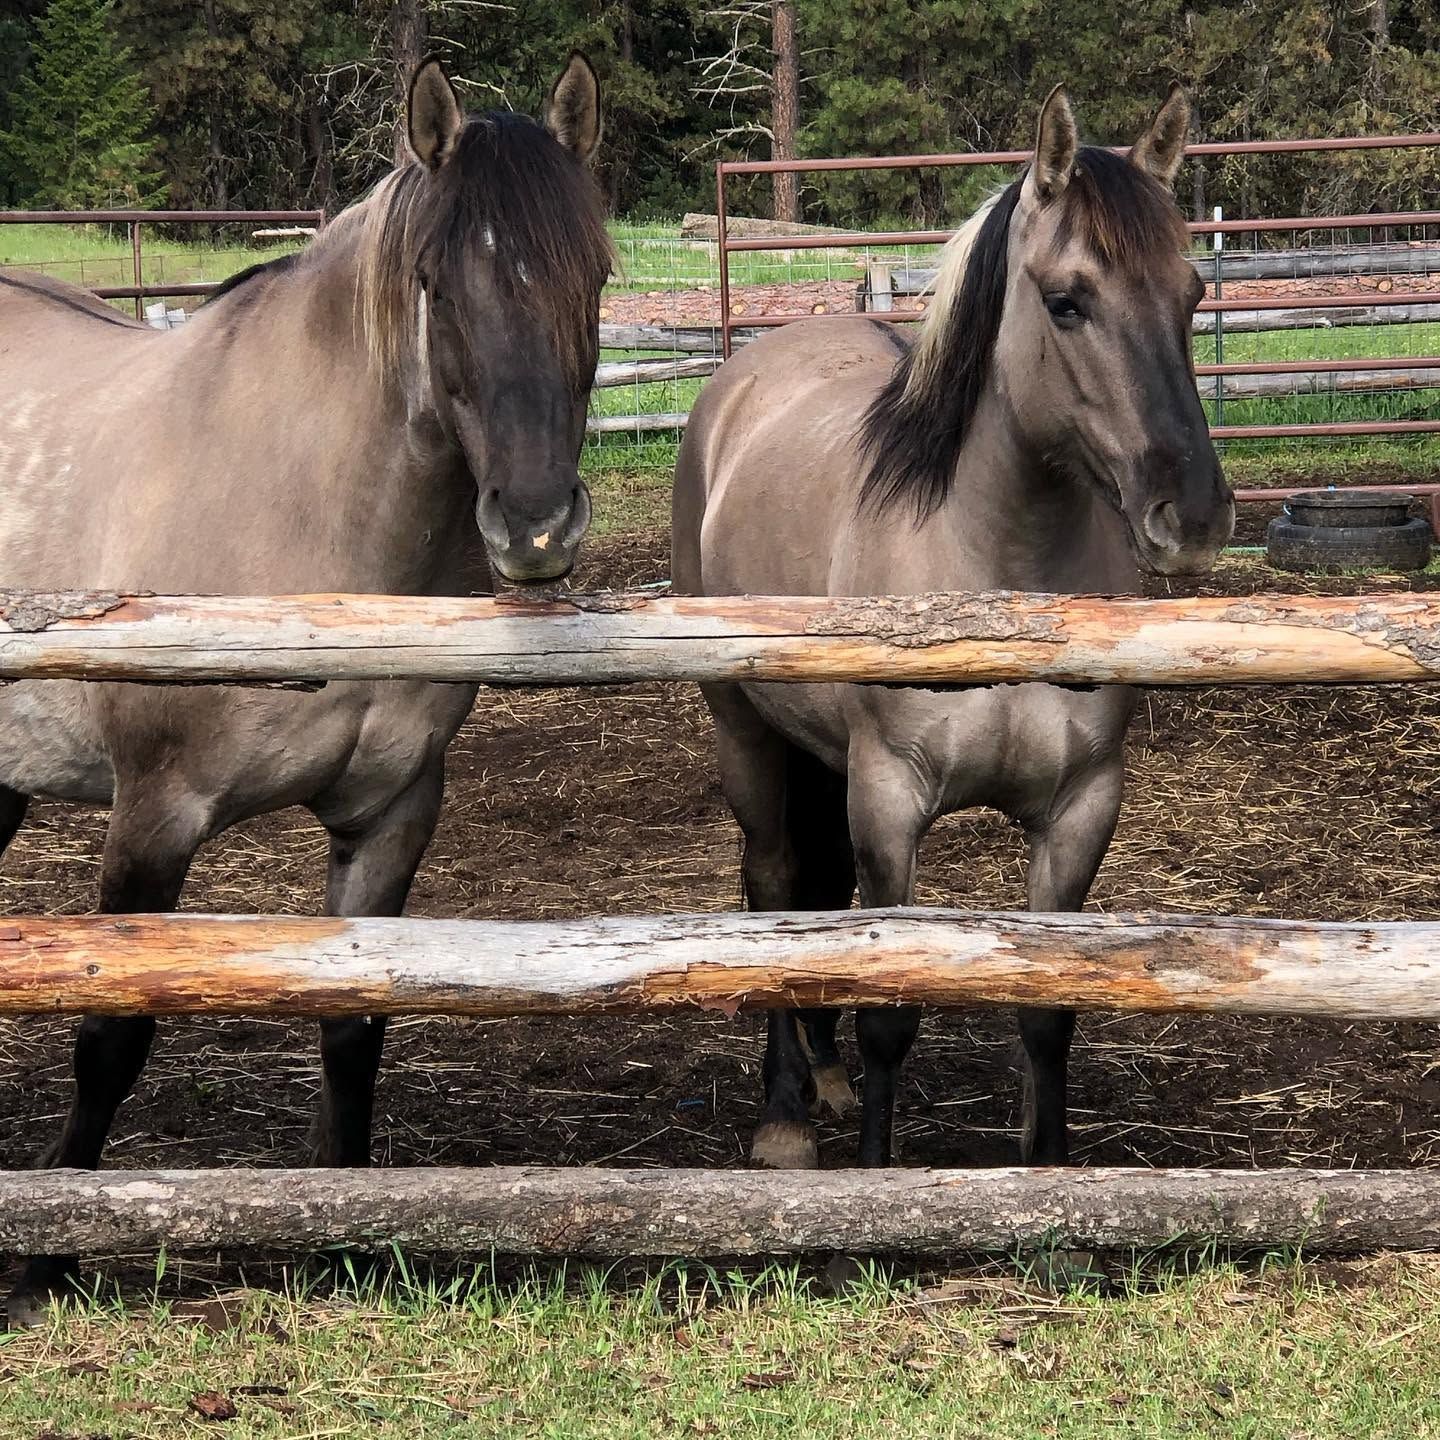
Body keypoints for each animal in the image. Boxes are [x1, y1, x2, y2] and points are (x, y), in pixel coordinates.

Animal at [0, 54, 611, 1324]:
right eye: (434, 281)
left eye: (599, 271)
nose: (535, 527)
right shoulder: (155, 813)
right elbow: (109, 1036)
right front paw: (49, 1258)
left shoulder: (389, 816)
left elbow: (353, 1027)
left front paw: (348, 1244)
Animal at [672, 84, 1234, 1172]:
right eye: (1067, 300)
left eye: (1191, 294)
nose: (1191, 515)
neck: (996, 577)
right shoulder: (892, 801)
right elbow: (894, 1012)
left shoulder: (1081, 809)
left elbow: (1048, 1012)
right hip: (742, 728)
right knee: (773, 883)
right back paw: (785, 1115)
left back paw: (825, 1076)